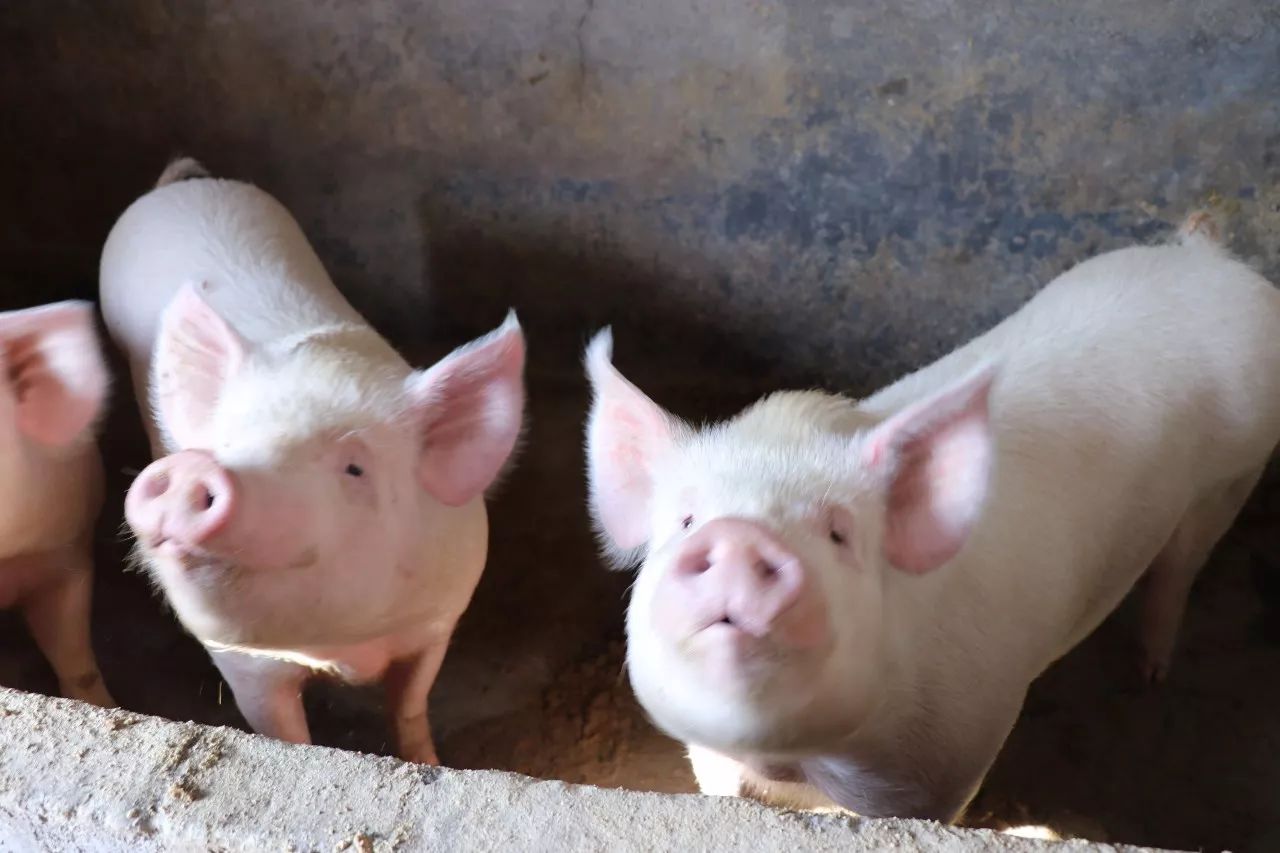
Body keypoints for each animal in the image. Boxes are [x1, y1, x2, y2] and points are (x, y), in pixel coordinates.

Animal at [97, 159, 522, 763]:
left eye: (355, 469)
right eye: (226, 438)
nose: (191, 468)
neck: (343, 643)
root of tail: (181, 186)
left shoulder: (441, 615)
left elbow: (411, 702)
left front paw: (429, 759)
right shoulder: (242, 663)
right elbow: (284, 731)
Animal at [586, 211, 1280, 819]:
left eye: (839, 532)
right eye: (686, 521)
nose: (738, 536)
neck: (794, 765)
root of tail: (1209, 260)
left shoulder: (951, 764)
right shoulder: (712, 761)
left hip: (1233, 475)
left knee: (1178, 569)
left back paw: (1151, 674)